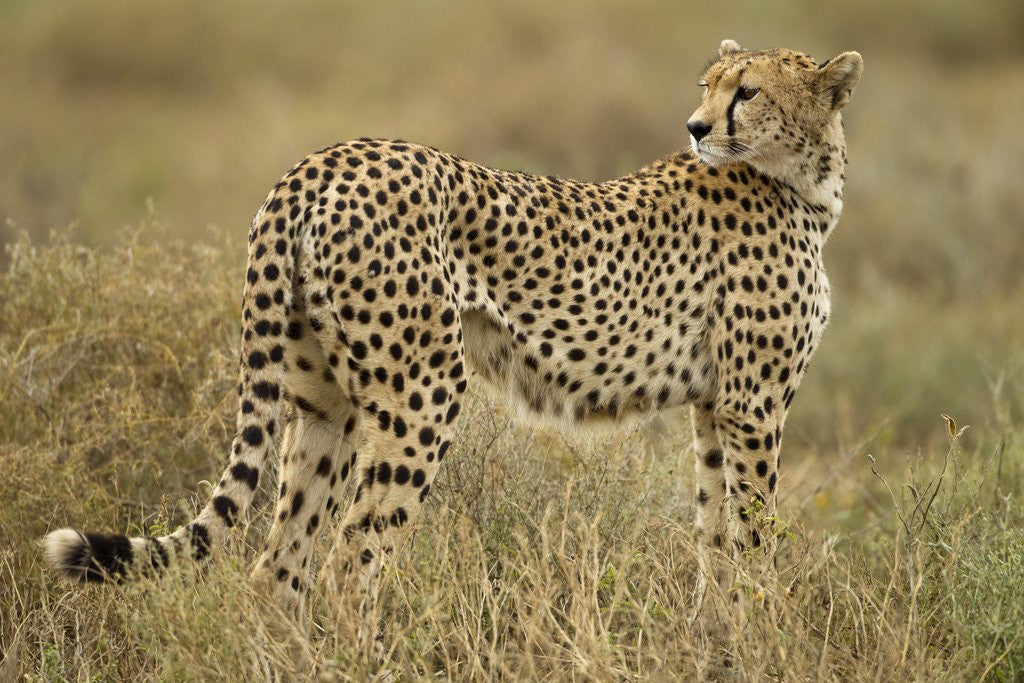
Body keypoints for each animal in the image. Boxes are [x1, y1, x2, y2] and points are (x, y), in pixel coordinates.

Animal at [44, 39, 862, 643]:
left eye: (746, 91)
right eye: (711, 86)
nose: (695, 129)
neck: (802, 184)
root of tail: (320, 160)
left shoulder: (716, 406)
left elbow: (715, 532)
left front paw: (718, 636)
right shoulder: (754, 404)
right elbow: (752, 533)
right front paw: (764, 634)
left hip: (326, 406)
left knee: (279, 567)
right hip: (424, 392)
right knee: (350, 562)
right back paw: (372, 661)